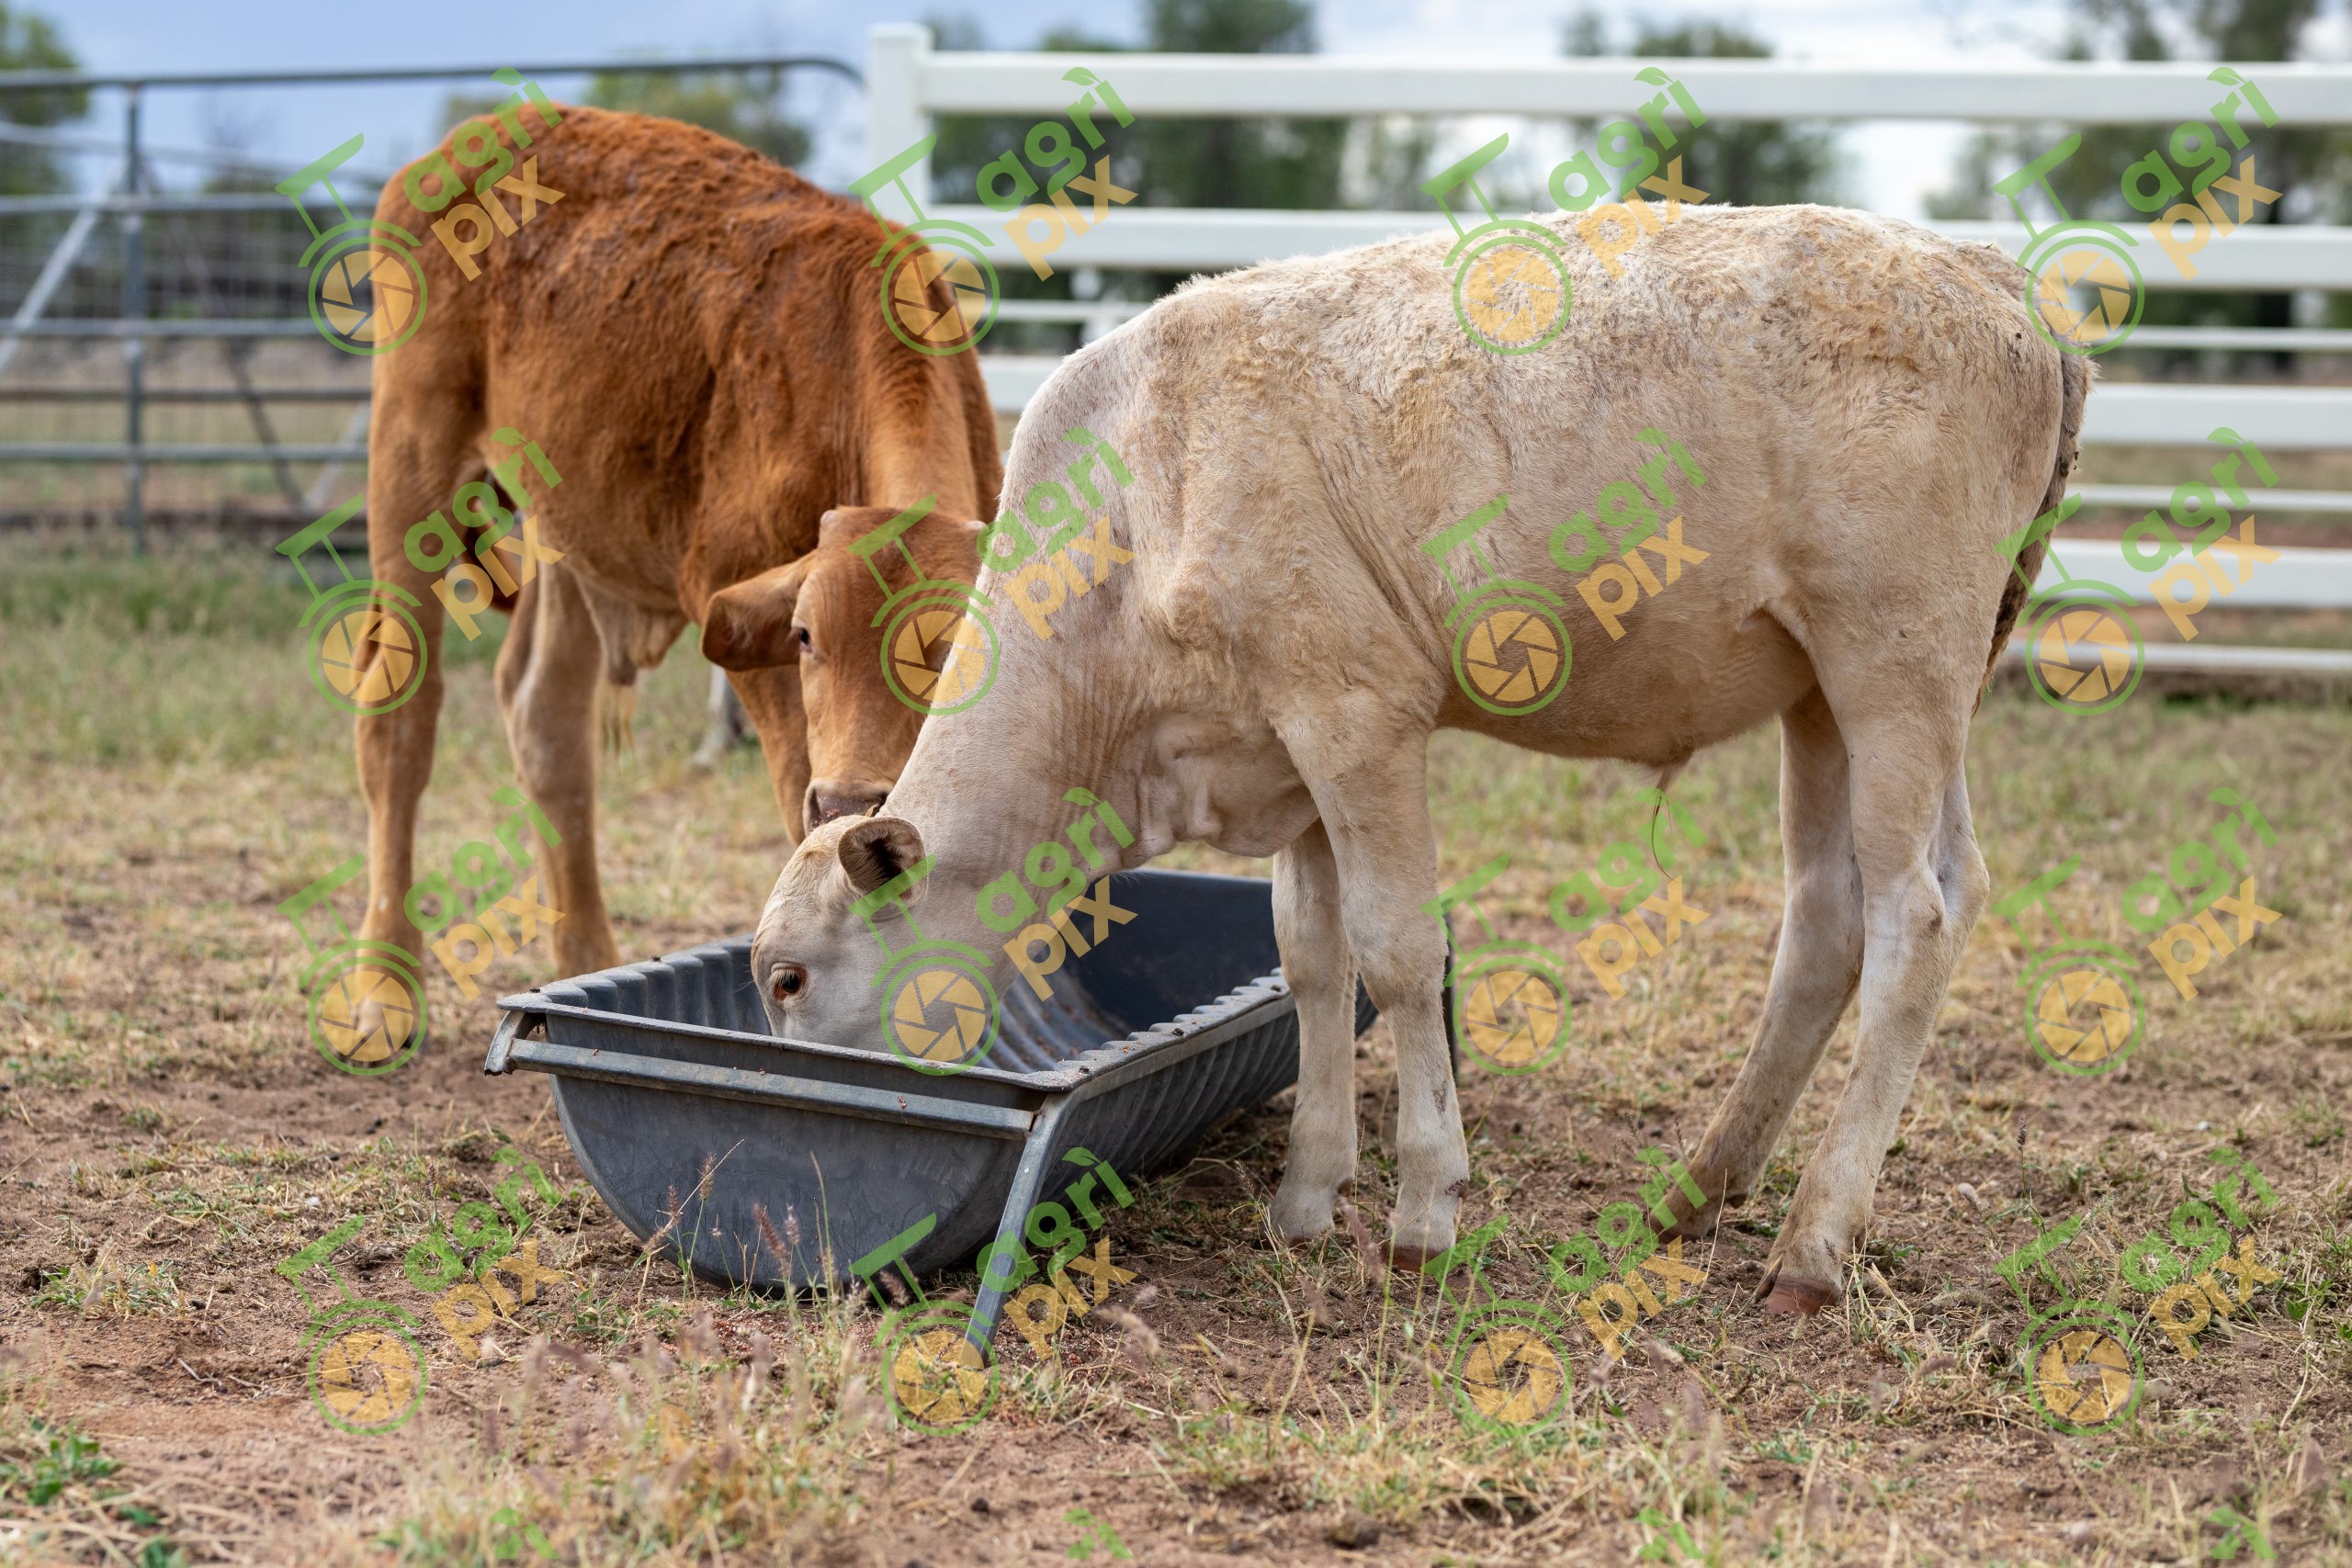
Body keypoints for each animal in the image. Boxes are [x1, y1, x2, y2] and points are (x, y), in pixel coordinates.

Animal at [349, 104, 999, 985]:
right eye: (804, 634)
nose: (846, 803)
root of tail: (466, 141)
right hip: (410, 483)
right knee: (400, 725)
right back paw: (385, 987)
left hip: (567, 538)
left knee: (547, 724)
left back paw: (585, 957)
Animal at [739, 202, 2090, 1315]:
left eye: (790, 978)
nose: (812, 1122)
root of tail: (1992, 277)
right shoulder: (1279, 746)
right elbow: (1310, 957)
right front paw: (1306, 1193)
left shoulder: (1356, 714)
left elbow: (1396, 952)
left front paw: (1421, 1208)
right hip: (1832, 690)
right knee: (1833, 916)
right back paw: (1700, 1187)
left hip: (1896, 662)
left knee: (1913, 916)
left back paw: (1813, 1241)